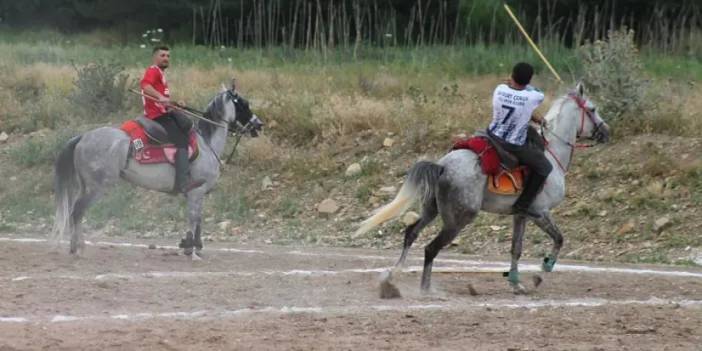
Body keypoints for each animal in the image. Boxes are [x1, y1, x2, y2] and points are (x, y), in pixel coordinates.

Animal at [51, 88, 262, 258]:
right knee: (77, 211)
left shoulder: (197, 194)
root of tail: (83, 137)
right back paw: (79, 248)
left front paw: (194, 246)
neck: (206, 144)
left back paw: (74, 247)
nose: (259, 125)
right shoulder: (196, 191)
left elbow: (198, 219)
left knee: (74, 211)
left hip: (85, 185)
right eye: (243, 104)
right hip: (98, 187)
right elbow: (194, 219)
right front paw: (191, 249)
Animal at [358, 82, 612, 294]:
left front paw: (516, 283)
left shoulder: (521, 215)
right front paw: (541, 273)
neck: (553, 152)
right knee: (430, 248)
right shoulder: (539, 213)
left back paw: (393, 276)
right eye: (593, 109)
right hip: (459, 219)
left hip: (432, 210)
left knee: (411, 233)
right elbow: (559, 239)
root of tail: (442, 165)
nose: (606, 132)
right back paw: (426, 289)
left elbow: (516, 248)